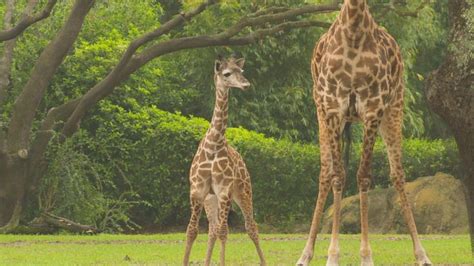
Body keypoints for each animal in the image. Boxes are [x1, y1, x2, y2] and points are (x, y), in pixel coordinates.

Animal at [182, 56, 264, 266]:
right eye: (226, 74)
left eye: (241, 71)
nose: (246, 84)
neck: (214, 144)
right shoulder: (198, 191)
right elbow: (192, 231)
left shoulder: (225, 191)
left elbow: (224, 231)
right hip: (211, 199)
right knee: (212, 229)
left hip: (243, 191)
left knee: (251, 226)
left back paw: (263, 261)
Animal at [298, 0, 432, 266]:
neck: (353, 31)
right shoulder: (332, 108)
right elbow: (338, 176)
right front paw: (332, 256)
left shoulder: (373, 109)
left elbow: (364, 176)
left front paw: (366, 256)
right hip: (320, 111)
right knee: (325, 172)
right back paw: (305, 254)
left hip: (395, 107)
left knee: (398, 173)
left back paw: (422, 254)